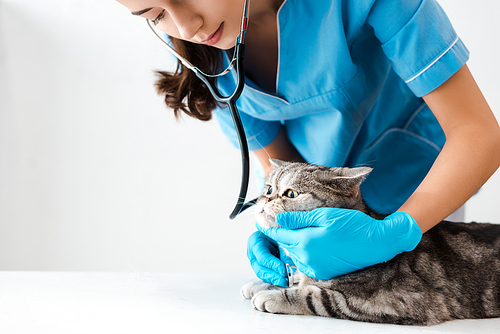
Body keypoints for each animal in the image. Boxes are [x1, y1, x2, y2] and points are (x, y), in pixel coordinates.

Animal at [242, 160, 500, 326]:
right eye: (268, 189)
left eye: (292, 194)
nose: (265, 199)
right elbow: (296, 278)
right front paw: (265, 282)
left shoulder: (391, 302)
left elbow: (315, 296)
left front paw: (275, 295)